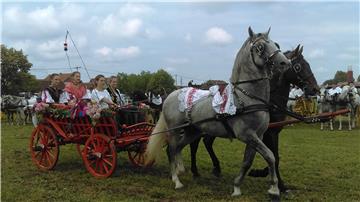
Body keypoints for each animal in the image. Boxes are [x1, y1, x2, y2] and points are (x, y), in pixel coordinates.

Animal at [145, 27, 292, 199]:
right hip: (175, 130)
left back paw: (181, 171)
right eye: (260, 47)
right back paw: (177, 181)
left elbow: (247, 162)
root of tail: (170, 95)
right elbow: (270, 156)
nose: (285, 63)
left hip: (192, 131)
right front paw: (274, 189)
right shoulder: (247, 134)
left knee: (179, 148)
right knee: (171, 149)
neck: (246, 97)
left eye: (275, 44)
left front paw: (237, 187)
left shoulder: (257, 136)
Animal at [188, 44, 318, 193]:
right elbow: (274, 157)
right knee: (195, 144)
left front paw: (263, 175)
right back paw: (195, 170)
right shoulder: (267, 134)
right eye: (298, 67)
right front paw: (277, 183)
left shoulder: (267, 134)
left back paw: (215, 168)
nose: (315, 89)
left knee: (207, 142)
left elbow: (271, 156)